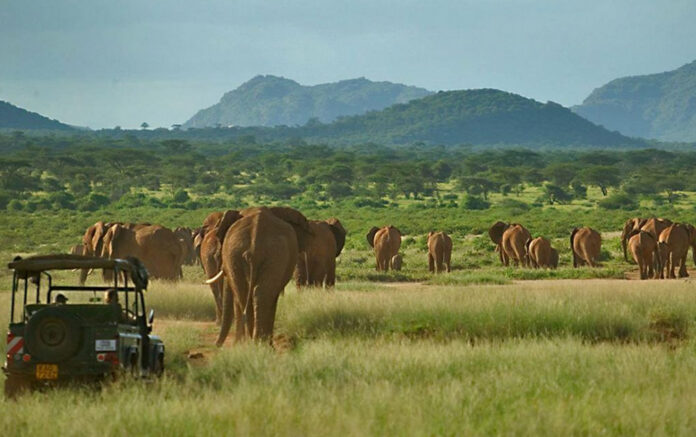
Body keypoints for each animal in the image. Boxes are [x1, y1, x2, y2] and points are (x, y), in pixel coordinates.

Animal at [208, 206, 312, 346]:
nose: (216, 345)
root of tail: (254, 245)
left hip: (265, 255)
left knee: (251, 294)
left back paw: (256, 343)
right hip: (244, 254)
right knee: (255, 294)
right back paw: (257, 343)